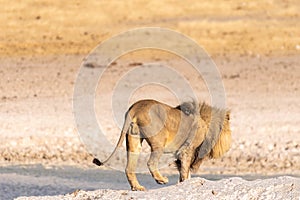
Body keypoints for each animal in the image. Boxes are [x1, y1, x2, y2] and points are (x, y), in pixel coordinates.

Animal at [92, 99, 231, 191]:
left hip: (134, 141)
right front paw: (186, 183)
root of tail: (136, 107)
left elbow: (183, 170)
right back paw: (161, 180)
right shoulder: (187, 149)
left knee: (129, 168)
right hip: (160, 140)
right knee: (151, 163)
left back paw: (137, 187)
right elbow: (185, 170)